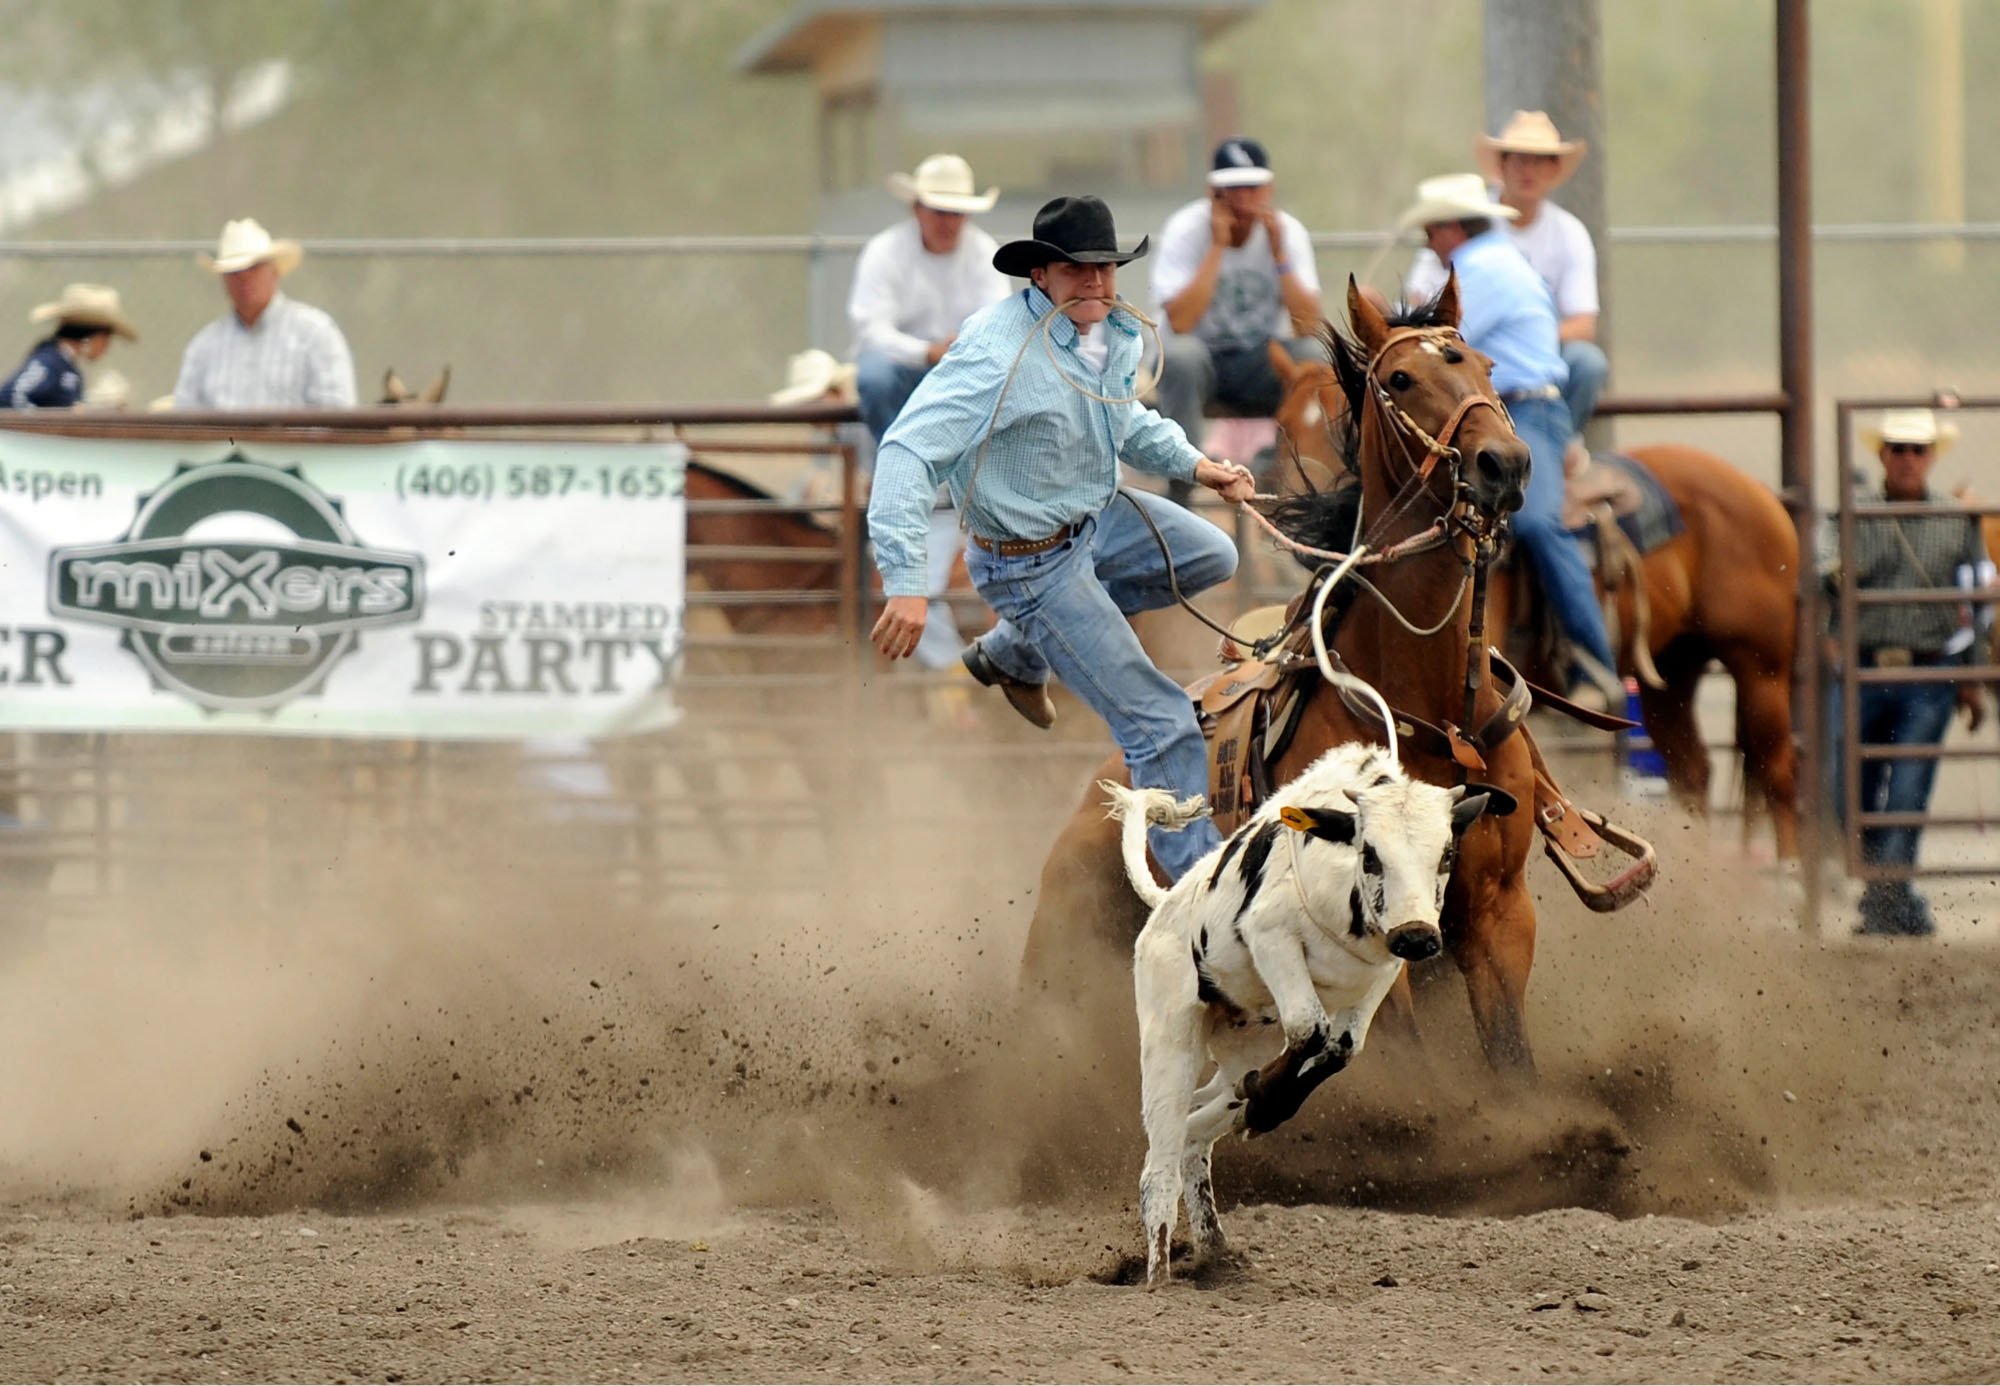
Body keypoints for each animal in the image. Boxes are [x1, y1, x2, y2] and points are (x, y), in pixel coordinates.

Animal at [1024, 282, 1552, 1072]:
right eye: (1402, 379)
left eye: (1487, 365)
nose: (1505, 464)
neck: (1425, 711)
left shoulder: (1500, 915)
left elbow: (1512, 1063)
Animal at [1112, 748, 1504, 1288]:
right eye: (1370, 854)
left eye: (1447, 854)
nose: (1417, 936)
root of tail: (1165, 906)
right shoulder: (1272, 938)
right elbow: (1308, 1028)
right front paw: (1264, 1102)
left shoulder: (1381, 975)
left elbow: (1339, 1049)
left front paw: (1264, 1104)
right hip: (1171, 1036)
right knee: (1161, 1164)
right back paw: (1158, 1275)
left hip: (1239, 1042)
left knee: (1195, 1135)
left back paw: (1217, 1249)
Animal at [1272, 340, 1808, 856]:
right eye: (1284, 423)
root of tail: (1760, 492)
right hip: (1674, 671)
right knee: (1694, 769)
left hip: (1759, 663)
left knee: (1777, 771)